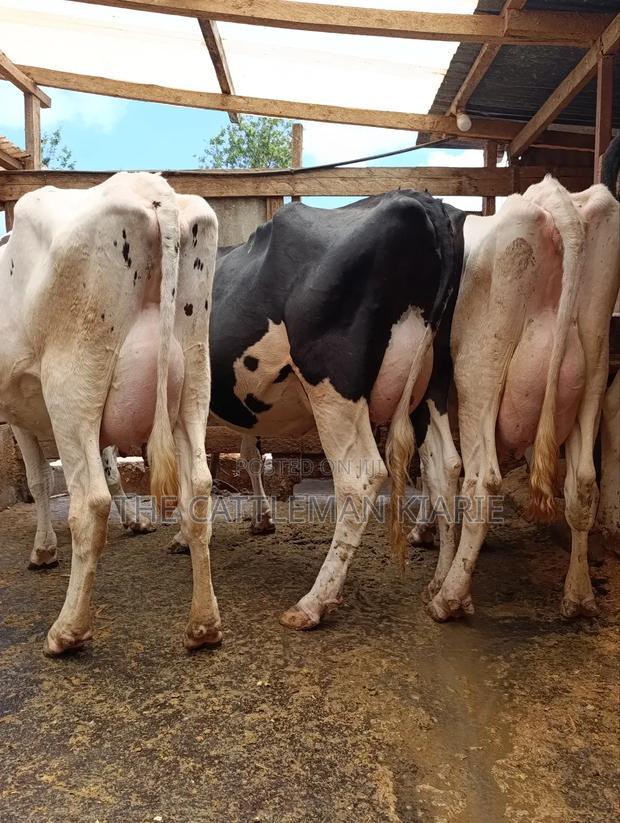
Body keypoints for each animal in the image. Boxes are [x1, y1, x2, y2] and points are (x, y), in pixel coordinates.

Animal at [0, 172, 221, 655]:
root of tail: (152, 189)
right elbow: (112, 467)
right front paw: (135, 521)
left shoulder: (20, 411)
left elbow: (39, 480)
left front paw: (43, 550)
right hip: (194, 376)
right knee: (198, 488)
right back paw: (204, 624)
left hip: (73, 381)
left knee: (89, 504)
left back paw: (66, 631)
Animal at [202, 191, 466, 630]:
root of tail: (423, 202)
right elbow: (249, 454)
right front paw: (261, 519)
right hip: (432, 384)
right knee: (445, 466)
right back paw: (443, 591)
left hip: (333, 381)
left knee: (360, 476)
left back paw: (313, 602)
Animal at [406, 177, 620, 621]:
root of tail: (554, 200)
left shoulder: (430, 398)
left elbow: (438, 472)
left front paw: (434, 552)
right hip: (592, 366)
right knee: (582, 483)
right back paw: (579, 596)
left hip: (480, 370)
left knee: (483, 480)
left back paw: (448, 598)